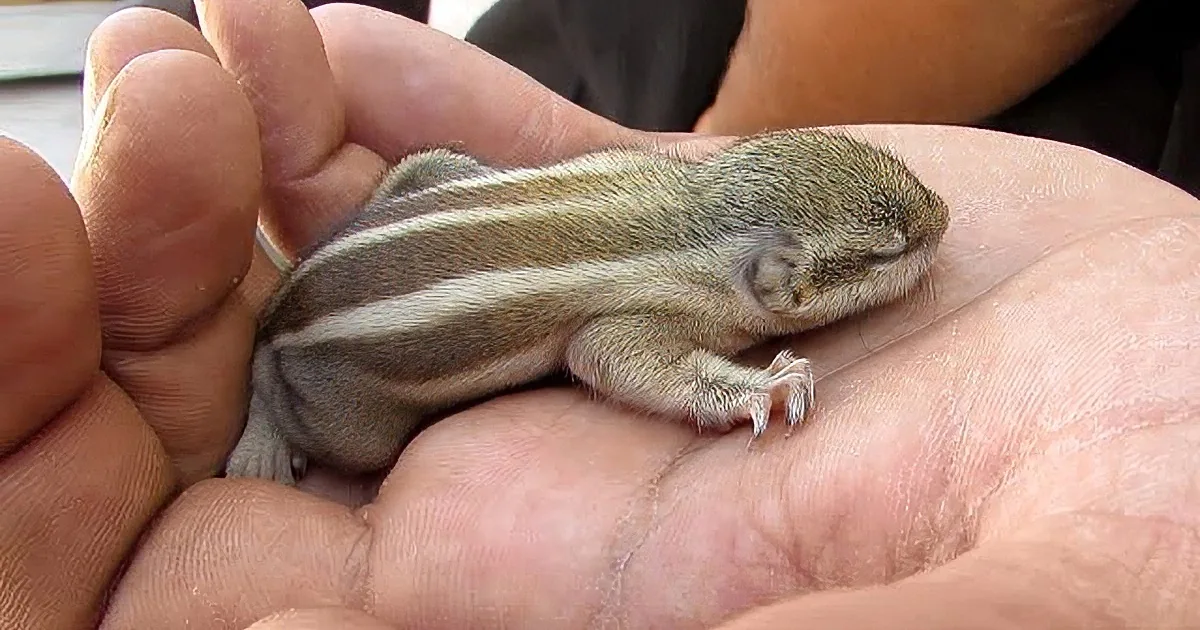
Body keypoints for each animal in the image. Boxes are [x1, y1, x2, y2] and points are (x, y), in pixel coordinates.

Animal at [224, 128, 951, 486]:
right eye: (891, 250)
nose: (943, 217)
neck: (698, 217)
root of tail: (284, 300)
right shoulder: (632, 319)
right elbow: (610, 359)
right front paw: (765, 386)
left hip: (428, 164)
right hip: (350, 422)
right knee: (271, 380)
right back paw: (264, 443)